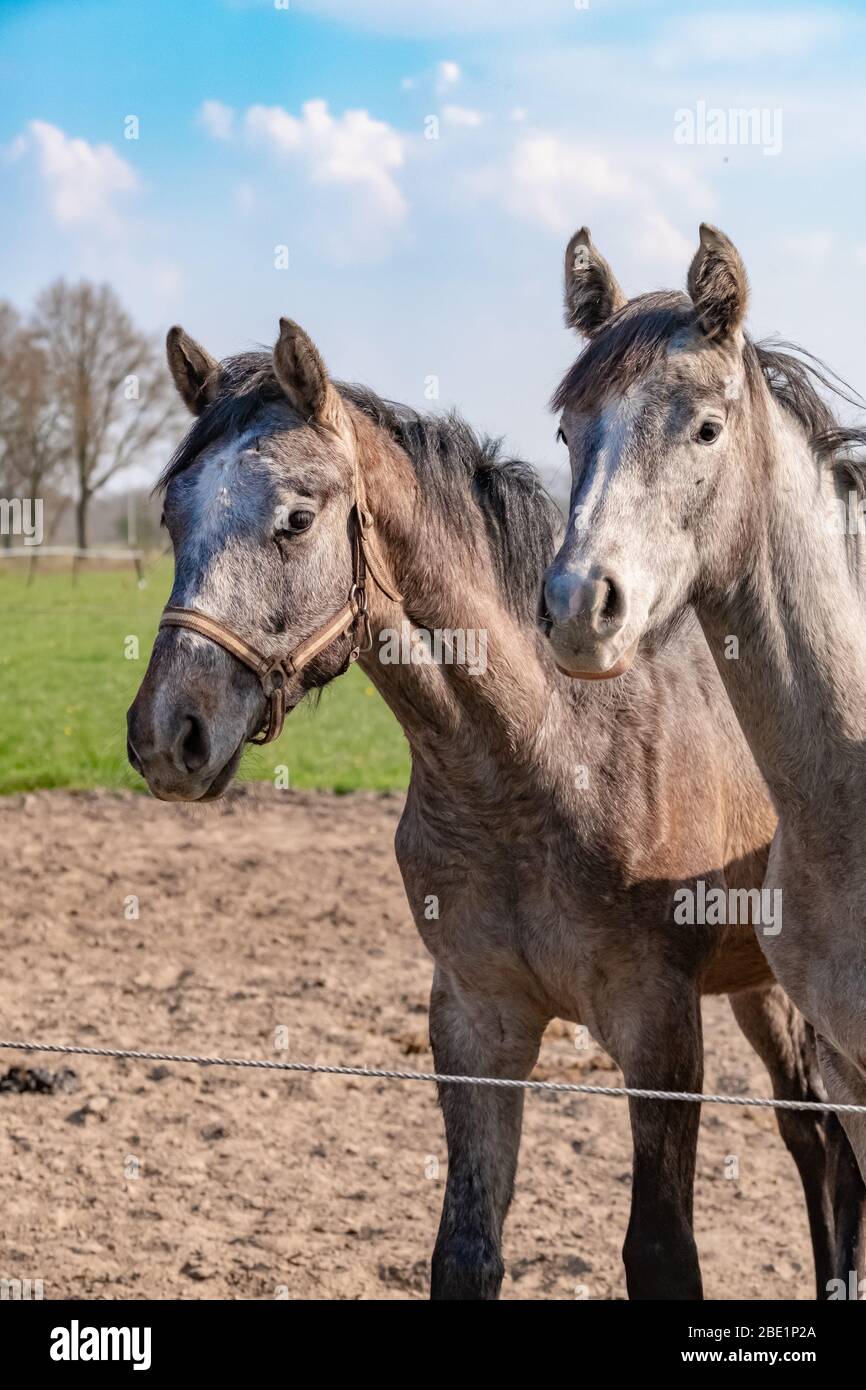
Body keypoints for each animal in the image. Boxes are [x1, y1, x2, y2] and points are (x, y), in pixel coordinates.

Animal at [127, 315, 859, 1298]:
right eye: (174, 516)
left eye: (296, 518)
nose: (168, 735)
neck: (540, 762)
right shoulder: (477, 1020)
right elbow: (465, 1249)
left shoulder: (660, 1027)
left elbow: (660, 1251)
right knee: (815, 1142)